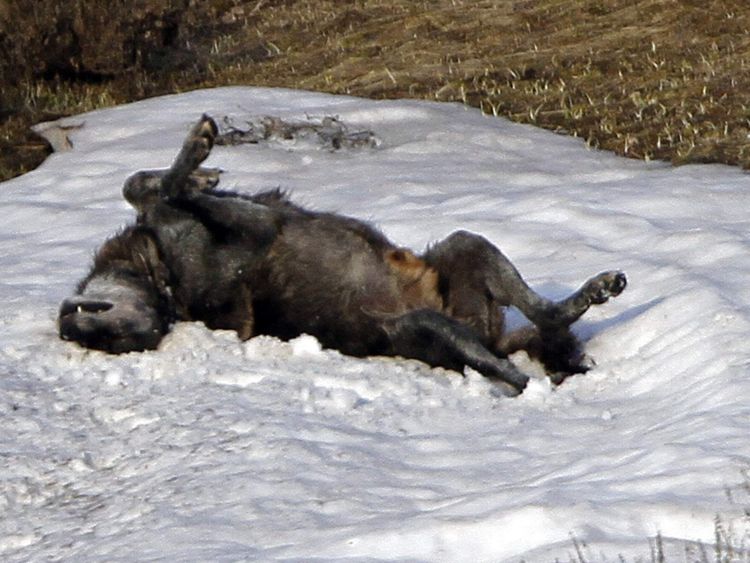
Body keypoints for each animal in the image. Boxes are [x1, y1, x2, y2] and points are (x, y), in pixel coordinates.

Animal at [59, 115, 626, 395]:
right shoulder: (249, 230)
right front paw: (194, 161)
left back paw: (596, 290)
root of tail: (487, 333)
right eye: (112, 342)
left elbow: (141, 183)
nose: (71, 326)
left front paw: (199, 171)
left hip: (467, 248)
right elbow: (161, 185)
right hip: (423, 328)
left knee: (546, 312)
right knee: (511, 367)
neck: (158, 272)